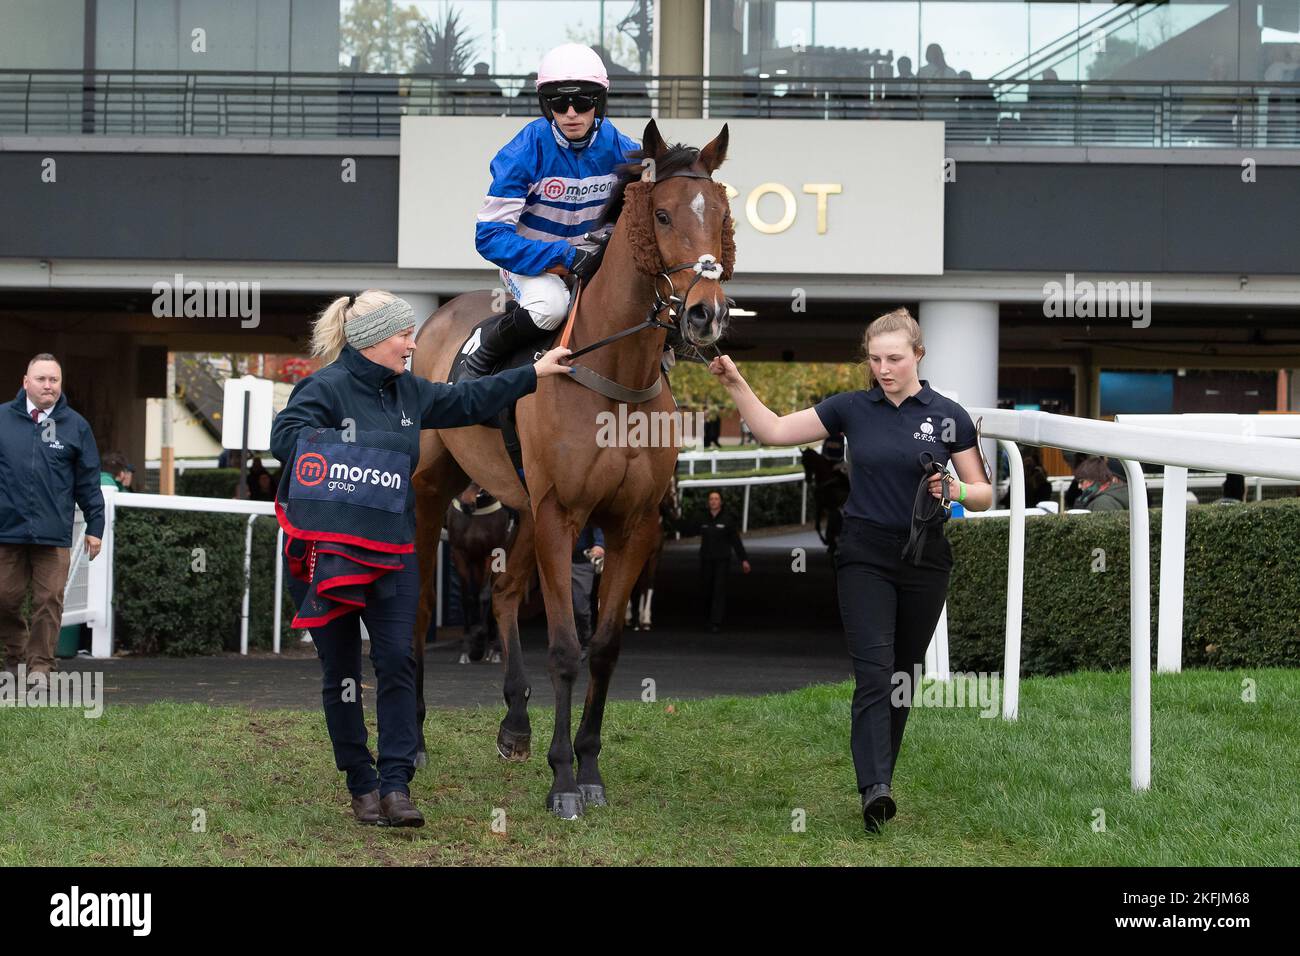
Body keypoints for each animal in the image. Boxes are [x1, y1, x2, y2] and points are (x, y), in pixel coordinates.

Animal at [408, 119, 733, 816]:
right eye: (661, 214)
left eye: (722, 216)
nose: (705, 313)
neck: (615, 376)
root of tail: (436, 318)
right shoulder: (563, 514)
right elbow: (563, 647)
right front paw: (562, 782)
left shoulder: (631, 522)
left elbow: (604, 647)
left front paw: (588, 769)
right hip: (431, 490)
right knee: (417, 608)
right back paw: (413, 740)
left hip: (525, 505)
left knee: (506, 593)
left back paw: (514, 726)